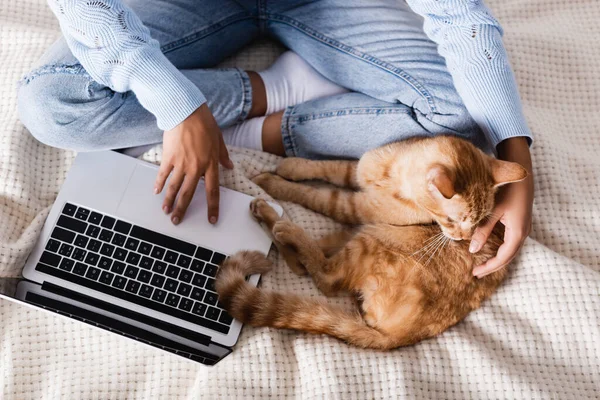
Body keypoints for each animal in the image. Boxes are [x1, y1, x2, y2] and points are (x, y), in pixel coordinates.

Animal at [216, 136, 524, 348]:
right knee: (311, 259)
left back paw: (279, 223)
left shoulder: (351, 206)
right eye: (452, 220)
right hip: (367, 232)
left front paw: (276, 184)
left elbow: (314, 195)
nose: (465, 238)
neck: (393, 172)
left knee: (326, 275)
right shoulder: (355, 170)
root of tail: (397, 338)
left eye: (480, 222)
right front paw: (292, 165)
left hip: (377, 237)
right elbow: (327, 167)